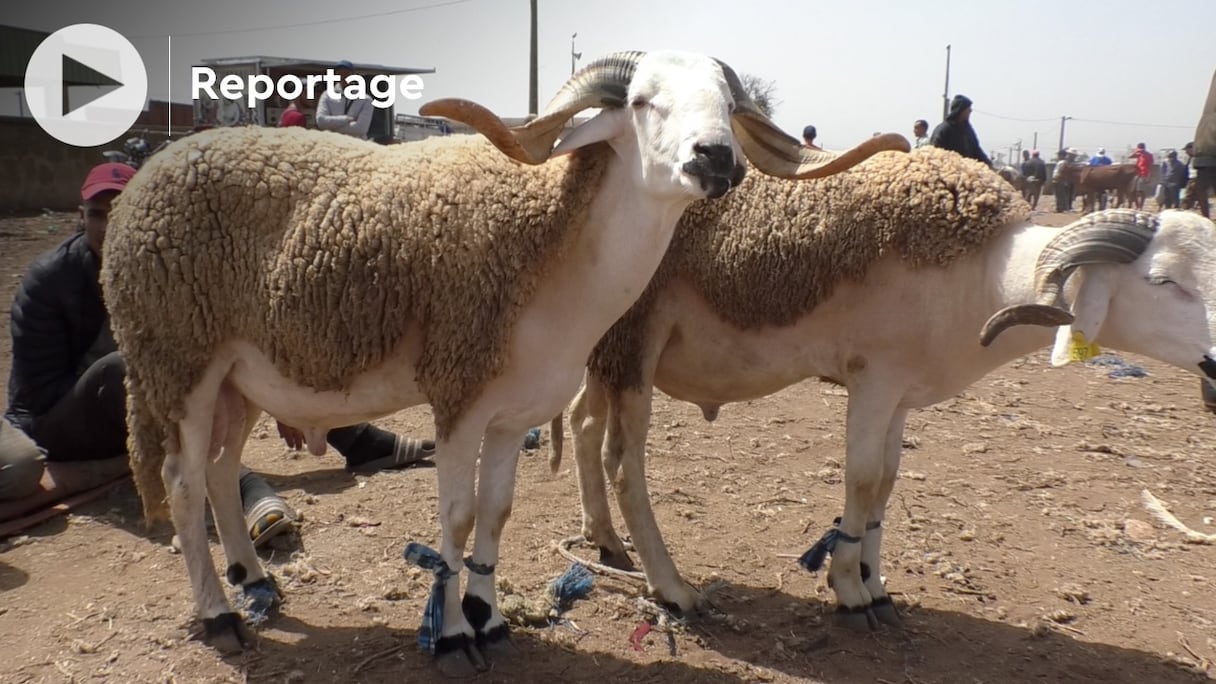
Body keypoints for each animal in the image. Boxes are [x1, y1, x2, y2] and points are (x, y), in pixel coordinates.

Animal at [102, 49, 904, 671]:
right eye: (642, 101)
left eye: (727, 106)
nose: (717, 159)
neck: (554, 241)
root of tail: (154, 168)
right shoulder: (458, 391)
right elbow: (456, 520)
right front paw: (454, 634)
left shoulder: (515, 409)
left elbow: (496, 511)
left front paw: (487, 614)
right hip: (176, 359)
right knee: (181, 484)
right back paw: (219, 615)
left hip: (238, 378)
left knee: (217, 470)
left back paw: (252, 576)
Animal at [552, 142, 1216, 628]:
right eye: (1164, 282)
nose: (1214, 366)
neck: (985, 273)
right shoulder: (873, 378)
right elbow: (863, 478)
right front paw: (847, 587)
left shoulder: (902, 392)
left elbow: (888, 485)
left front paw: (876, 583)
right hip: (632, 342)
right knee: (622, 463)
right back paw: (672, 588)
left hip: (602, 349)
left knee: (583, 426)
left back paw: (604, 539)